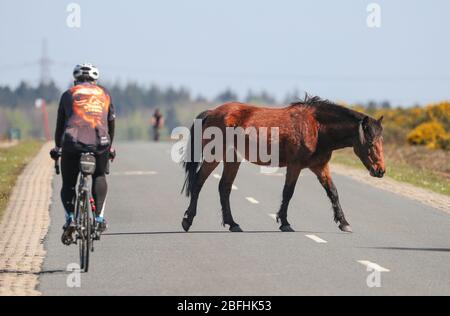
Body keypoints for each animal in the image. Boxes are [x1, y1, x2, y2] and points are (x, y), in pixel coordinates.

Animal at [181, 95, 384, 232]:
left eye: (382, 141)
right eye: (370, 143)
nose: (380, 171)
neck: (316, 127)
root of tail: (212, 113)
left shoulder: (320, 167)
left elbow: (333, 192)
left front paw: (344, 223)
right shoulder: (295, 166)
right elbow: (288, 192)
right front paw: (284, 222)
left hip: (233, 159)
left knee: (224, 187)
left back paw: (233, 224)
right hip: (214, 157)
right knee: (199, 182)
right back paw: (187, 220)